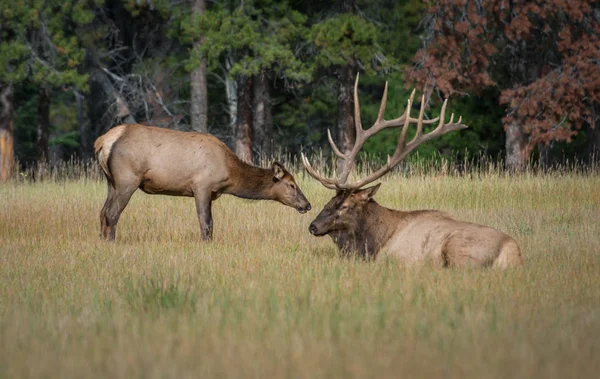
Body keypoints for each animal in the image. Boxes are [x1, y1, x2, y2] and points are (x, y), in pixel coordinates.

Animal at [95, 125, 310, 243]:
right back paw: (111, 242)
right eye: (292, 185)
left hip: (111, 182)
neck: (229, 173)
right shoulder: (202, 186)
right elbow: (206, 222)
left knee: (103, 211)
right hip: (127, 179)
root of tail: (103, 142)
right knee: (112, 213)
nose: (307, 205)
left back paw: (102, 240)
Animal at [302, 75, 524, 268]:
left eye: (345, 205)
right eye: (330, 200)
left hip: (460, 249)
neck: (374, 240)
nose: (313, 226)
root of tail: (512, 252)